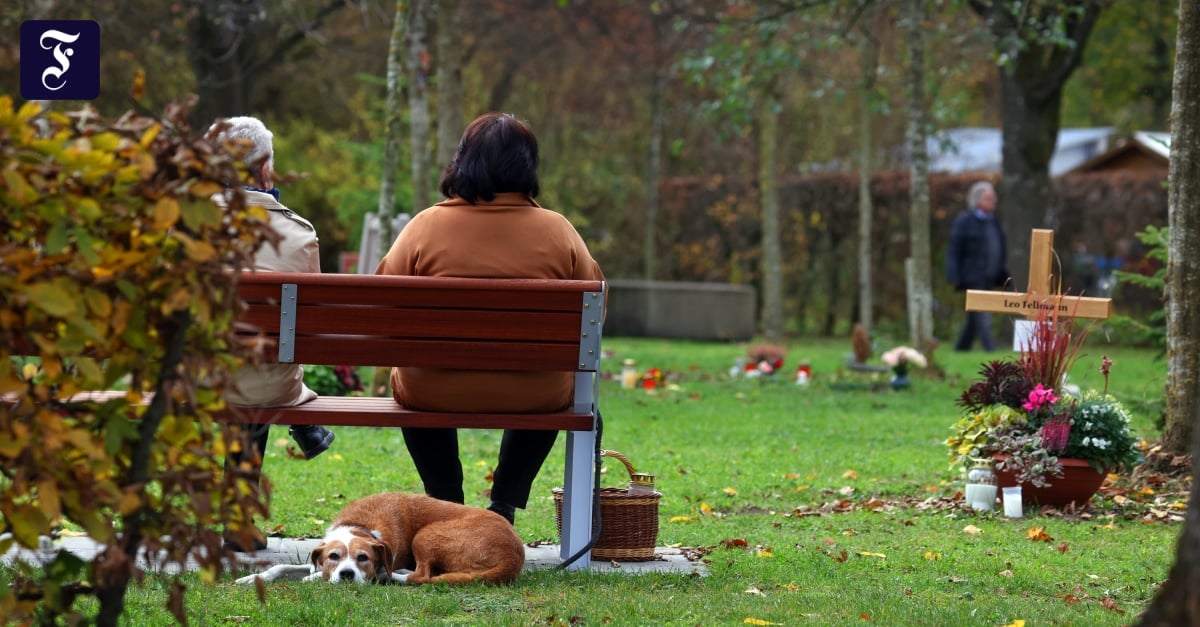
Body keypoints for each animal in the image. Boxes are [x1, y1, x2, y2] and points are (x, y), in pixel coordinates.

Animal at [238, 490, 525, 583]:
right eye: (333, 556)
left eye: (363, 557)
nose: (347, 574)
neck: (358, 526)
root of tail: (514, 553)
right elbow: (282, 567)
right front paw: (252, 578)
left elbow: (318, 576)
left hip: (425, 535)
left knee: (420, 577)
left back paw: (395, 576)